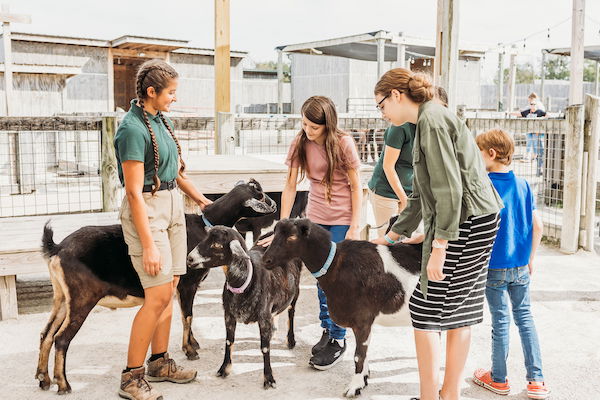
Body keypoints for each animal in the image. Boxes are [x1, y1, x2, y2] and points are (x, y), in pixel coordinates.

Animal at [188, 227, 300, 390]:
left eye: (217, 245)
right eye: (205, 238)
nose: (189, 258)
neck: (245, 281)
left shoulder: (263, 316)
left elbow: (264, 348)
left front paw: (269, 378)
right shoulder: (229, 314)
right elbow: (229, 341)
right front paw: (224, 369)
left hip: (295, 291)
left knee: (291, 311)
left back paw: (291, 340)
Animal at [262, 220, 422, 398]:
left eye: (292, 237)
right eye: (274, 234)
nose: (266, 260)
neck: (336, 265)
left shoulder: (362, 320)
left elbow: (359, 355)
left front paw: (354, 387)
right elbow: (364, 352)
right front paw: (364, 379)